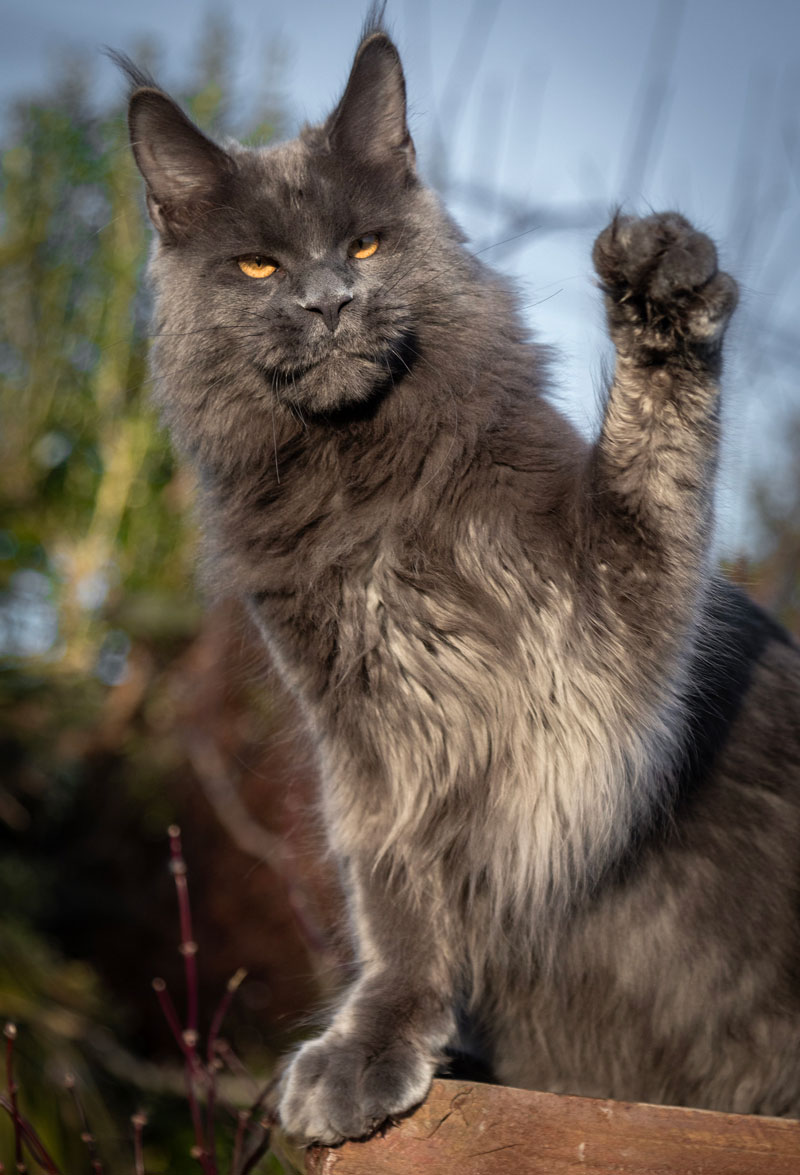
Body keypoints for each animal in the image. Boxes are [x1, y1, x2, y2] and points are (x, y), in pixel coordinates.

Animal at [113, 9, 798, 1146]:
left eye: (364, 245)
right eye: (256, 267)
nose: (329, 301)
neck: (365, 489)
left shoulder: (602, 637)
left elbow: (655, 455)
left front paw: (659, 291)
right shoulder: (366, 739)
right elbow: (394, 898)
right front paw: (373, 1042)